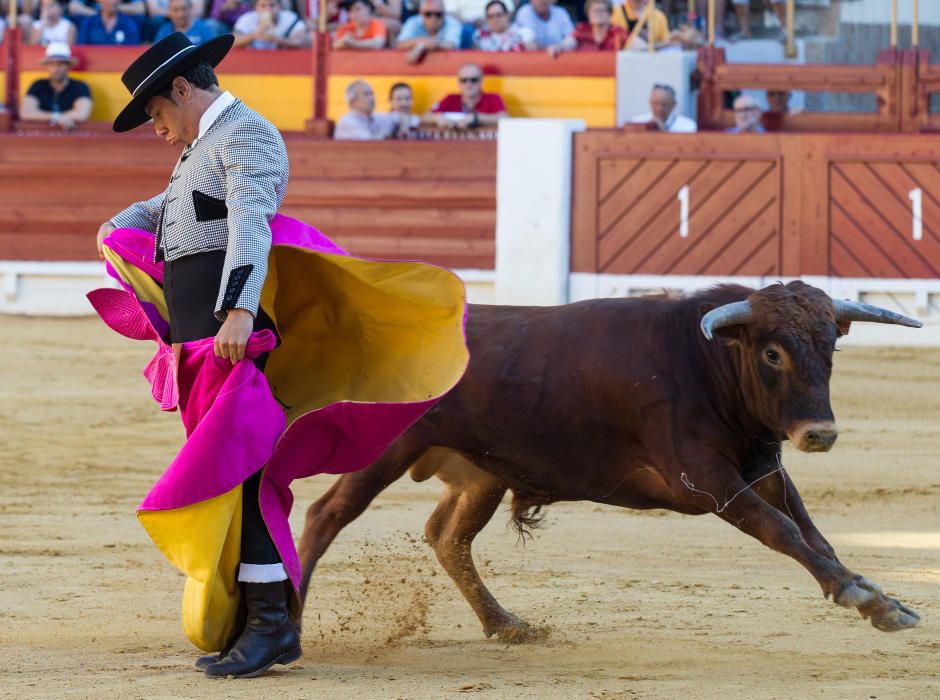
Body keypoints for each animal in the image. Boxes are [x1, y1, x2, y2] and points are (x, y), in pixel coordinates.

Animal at [298, 280, 920, 640]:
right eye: (772, 352)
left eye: (830, 345)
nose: (819, 433)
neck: (705, 359)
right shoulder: (705, 479)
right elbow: (782, 530)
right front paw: (859, 594)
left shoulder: (761, 467)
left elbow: (815, 535)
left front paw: (882, 603)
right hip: (384, 452)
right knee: (326, 515)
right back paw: (291, 627)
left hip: (483, 473)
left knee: (448, 537)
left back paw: (506, 625)